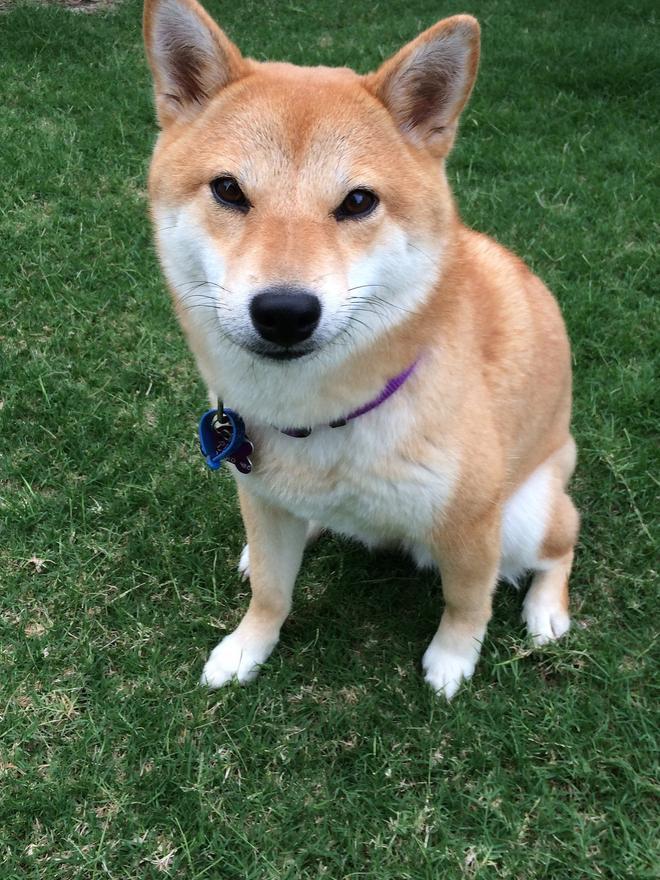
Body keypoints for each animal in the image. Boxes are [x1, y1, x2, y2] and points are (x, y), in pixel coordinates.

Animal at [143, 1, 576, 700]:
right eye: (229, 190)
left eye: (358, 201)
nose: (284, 311)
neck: (320, 418)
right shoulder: (259, 495)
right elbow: (272, 593)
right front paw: (247, 648)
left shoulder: (473, 525)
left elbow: (468, 602)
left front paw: (452, 661)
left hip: (527, 515)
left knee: (563, 544)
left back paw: (546, 610)